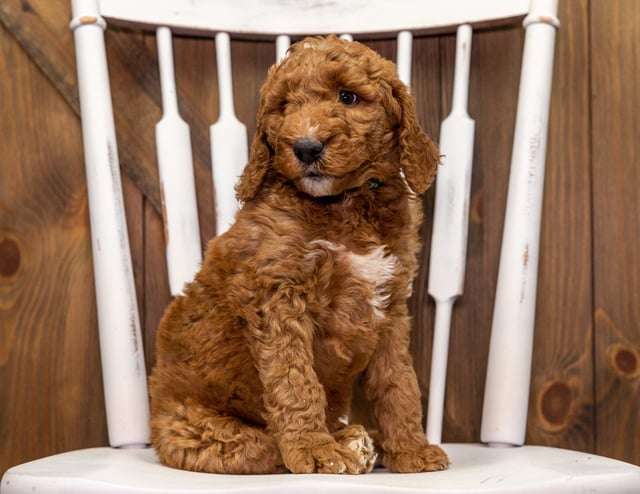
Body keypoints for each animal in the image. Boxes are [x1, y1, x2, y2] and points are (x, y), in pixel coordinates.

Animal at [150, 34, 450, 474]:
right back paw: (346, 444)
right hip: (199, 431)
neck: (345, 205)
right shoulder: (277, 295)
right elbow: (294, 380)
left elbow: (398, 381)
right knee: (262, 446)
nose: (306, 147)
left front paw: (411, 449)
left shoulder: (391, 305)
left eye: (348, 97)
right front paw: (314, 450)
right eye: (285, 106)